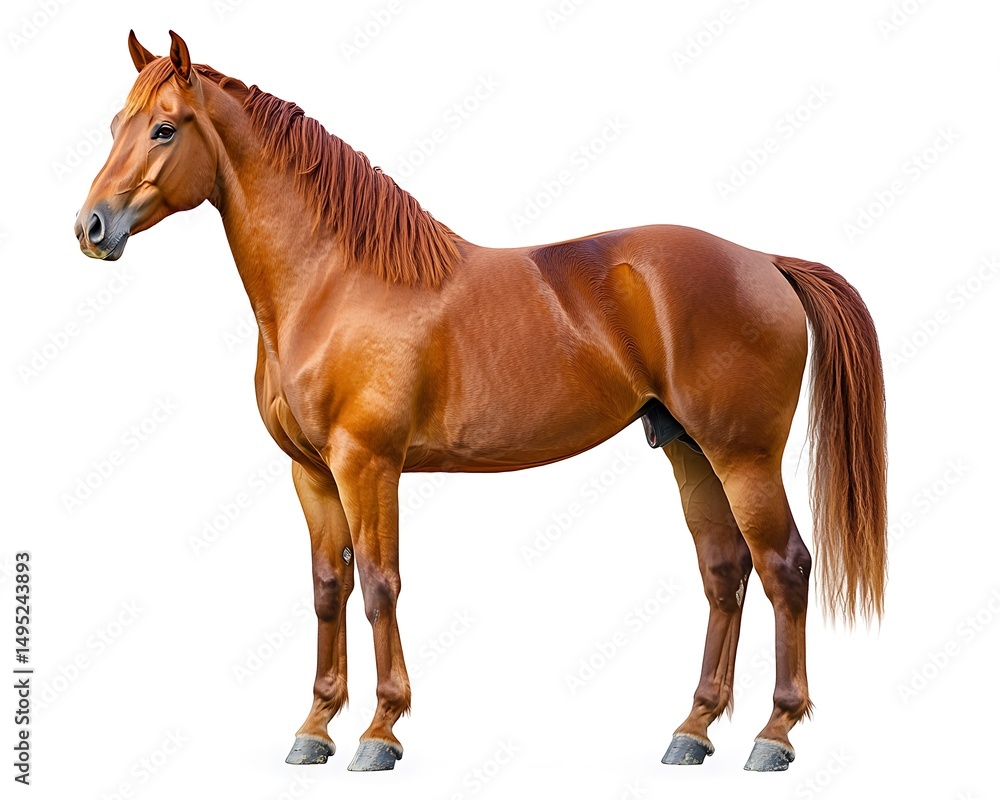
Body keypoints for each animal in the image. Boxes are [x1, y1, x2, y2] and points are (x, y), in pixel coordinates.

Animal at [75, 31, 887, 773]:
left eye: (165, 127)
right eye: (115, 123)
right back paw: (692, 730)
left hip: (744, 455)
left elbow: (379, 586)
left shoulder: (367, 464)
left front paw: (380, 732)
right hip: (689, 450)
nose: (91, 228)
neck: (332, 282)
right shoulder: (311, 472)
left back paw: (774, 735)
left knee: (784, 566)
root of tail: (766, 263)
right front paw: (314, 727)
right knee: (725, 570)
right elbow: (328, 588)